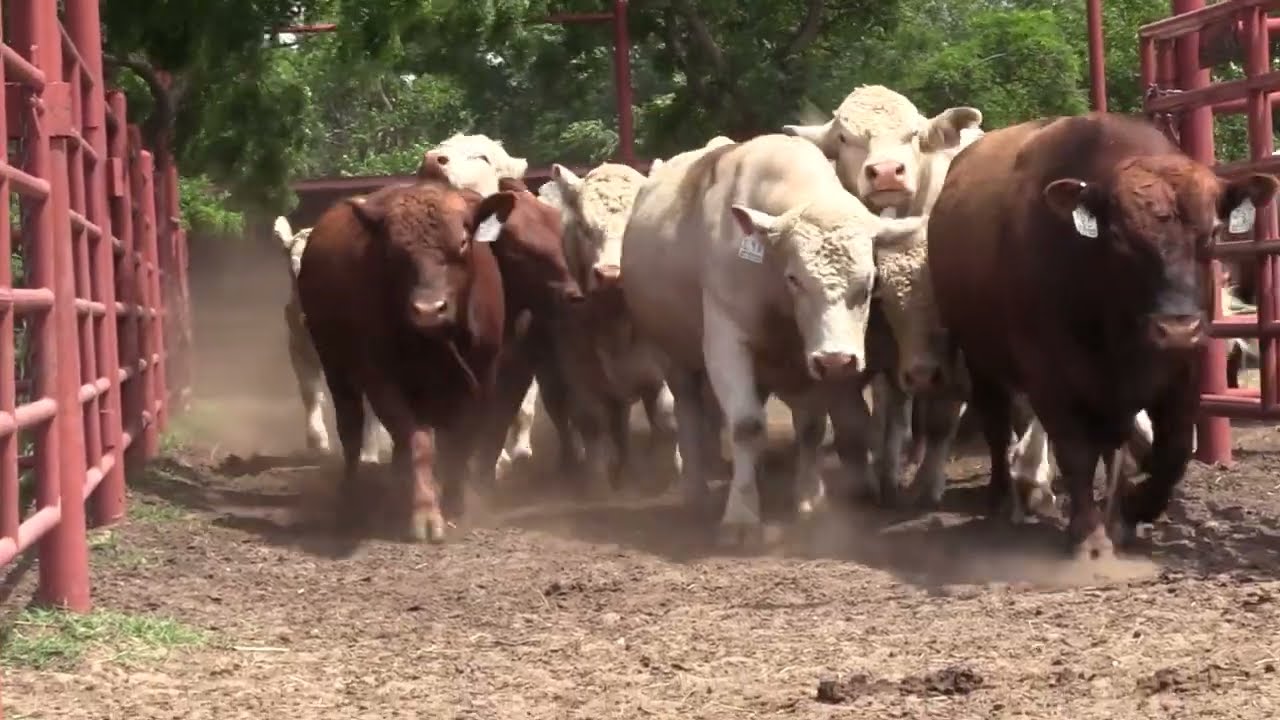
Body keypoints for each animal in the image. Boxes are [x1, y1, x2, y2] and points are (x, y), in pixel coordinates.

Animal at [273, 216, 392, 463]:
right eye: (293, 269)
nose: (307, 318)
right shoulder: (299, 347)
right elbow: (310, 393)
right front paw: (317, 442)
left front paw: (368, 454)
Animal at [543, 162, 680, 496]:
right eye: (583, 225)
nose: (610, 274)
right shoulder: (580, 373)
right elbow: (591, 422)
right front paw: (597, 484)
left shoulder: (660, 370)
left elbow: (666, 416)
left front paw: (663, 475)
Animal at [620, 135, 924, 545]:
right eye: (794, 278)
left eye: (868, 282)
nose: (838, 359)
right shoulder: (727, 341)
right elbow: (747, 425)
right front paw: (742, 516)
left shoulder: (809, 359)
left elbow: (811, 428)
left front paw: (810, 501)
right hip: (674, 358)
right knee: (688, 411)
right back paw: (696, 491)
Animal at [927, 112, 1279, 559]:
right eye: (1119, 238)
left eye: (1213, 234)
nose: (1176, 328)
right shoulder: (1050, 378)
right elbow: (1075, 451)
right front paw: (1090, 534)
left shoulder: (1182, 373)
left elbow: (1174, 451)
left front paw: (1132, 508)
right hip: (980, 359)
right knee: (996, 423)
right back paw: (1003, 498)